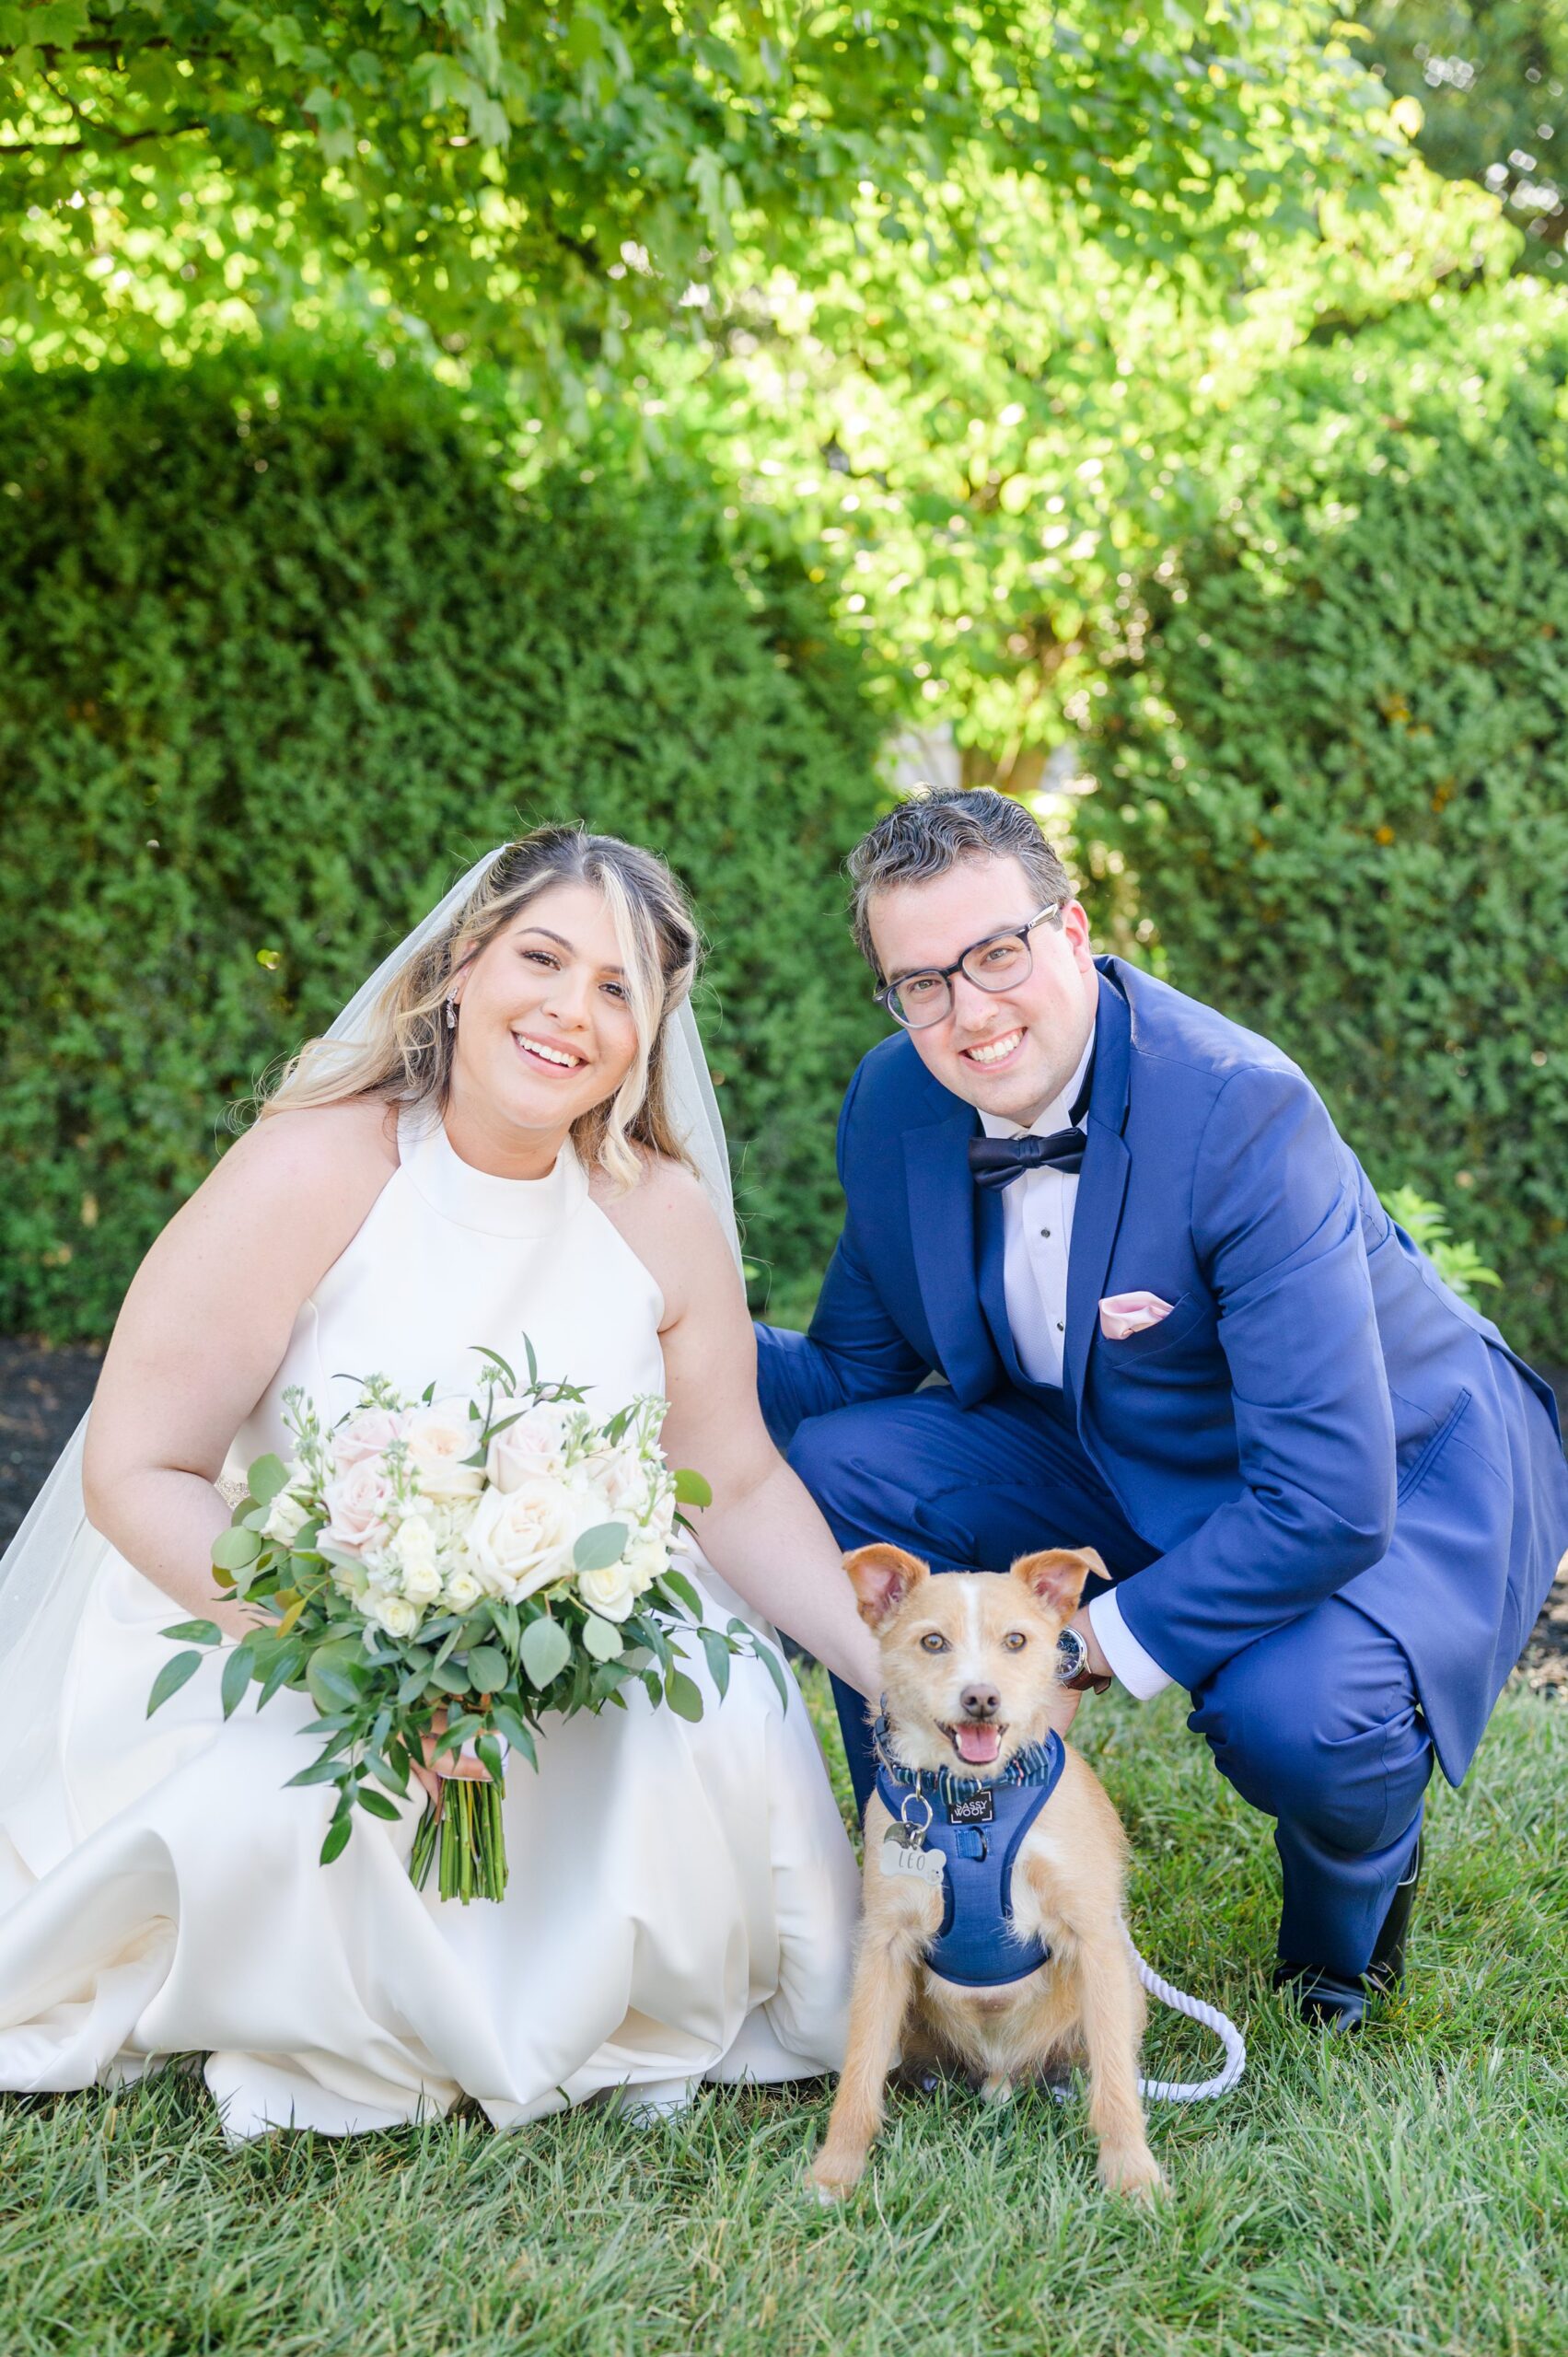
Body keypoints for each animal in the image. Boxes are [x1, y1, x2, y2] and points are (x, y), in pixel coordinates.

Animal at [806, 1537, 1159, 2196]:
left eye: (1016, 1640)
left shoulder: (1093, 1936)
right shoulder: (884, 1947)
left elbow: (1116, 2084)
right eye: (932, 1642)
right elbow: (860, 2072)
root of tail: (1000, 2074)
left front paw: (1131, 2173)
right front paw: (836, 2171)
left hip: (1120, 1996)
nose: (981, 1698)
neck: (974, 1802)